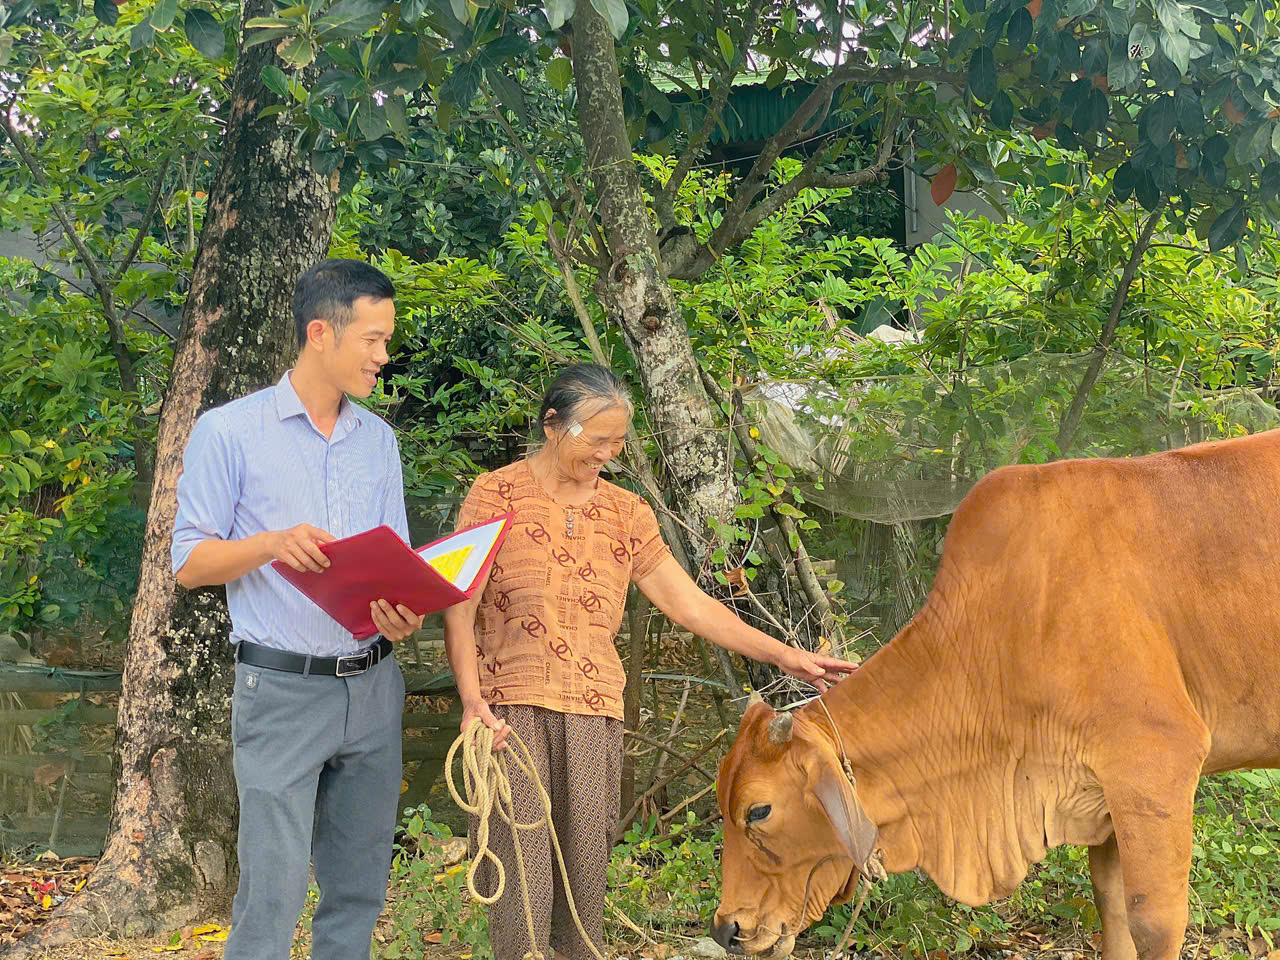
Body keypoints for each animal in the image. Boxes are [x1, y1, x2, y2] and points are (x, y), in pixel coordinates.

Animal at [711, 427, 1280, 960]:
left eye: (759, 811)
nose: (725, 928)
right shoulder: (1105, 793)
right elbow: (1113, 910)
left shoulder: (1154, 761)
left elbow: (1153, 923)